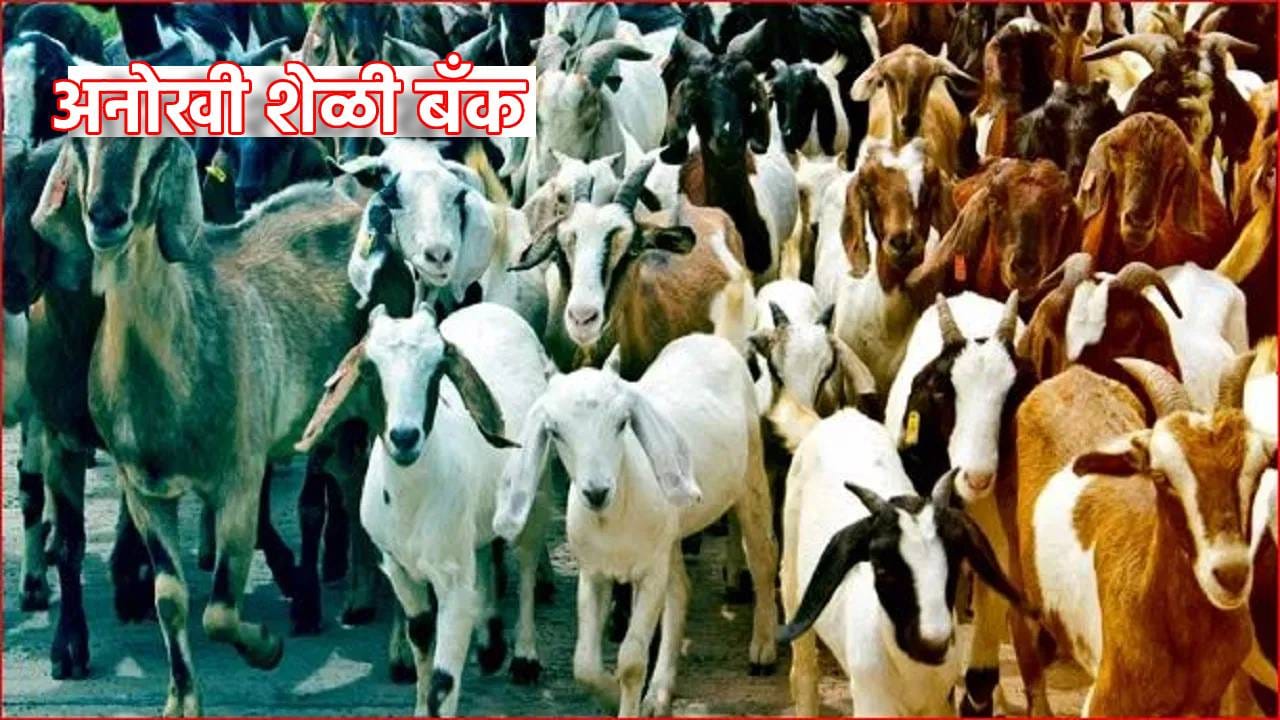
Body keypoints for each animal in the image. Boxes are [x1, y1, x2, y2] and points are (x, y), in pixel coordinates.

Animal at [31, 137, 367, 714]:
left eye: (156, 146)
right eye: (79, 140)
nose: (106, 215)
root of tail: (337, 190)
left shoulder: (239, 480)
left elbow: (220, 612)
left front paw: (268, 648)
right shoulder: (143, 489)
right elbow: (170, 599)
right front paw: (181, 699)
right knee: (347, 484)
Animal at [295, 302, 547, 714]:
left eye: (437, 367)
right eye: (370, 368)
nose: (404, 437)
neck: (411, 501)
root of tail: (494, 307)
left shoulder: (452, 584)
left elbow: (443, 682)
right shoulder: (399, 568)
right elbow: (421, 635)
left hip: (537, 492)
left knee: (526, 562)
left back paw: (525, 657)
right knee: (486, 555)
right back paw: (490, 647)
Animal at [494, 333, 779, 717]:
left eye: (622, 423)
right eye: (554, 431)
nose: (596, 491)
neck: (614, 517)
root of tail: (707, 338)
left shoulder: (648, 573)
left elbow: (631, 660)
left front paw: (624, 698)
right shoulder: (593, 572)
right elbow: (583, 664)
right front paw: (611, 694)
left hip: (751, 477)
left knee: (763, 559)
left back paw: (763, 647)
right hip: (669, 536)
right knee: (681, 590)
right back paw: (659, 692)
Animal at [778, 409, 1029, 716]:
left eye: (955, 565)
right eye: (882, 568)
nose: (933, 643)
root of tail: (842, 416)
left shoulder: (940, 700)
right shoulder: (873, 700)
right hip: (792, 578)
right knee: (803, 672)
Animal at [1009, 357, 1271, 714]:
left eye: (1258, 471)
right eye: (1160, 476)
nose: (1231, 575)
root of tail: (1072, 374)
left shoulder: (1205, 702)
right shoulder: (1106, 702)